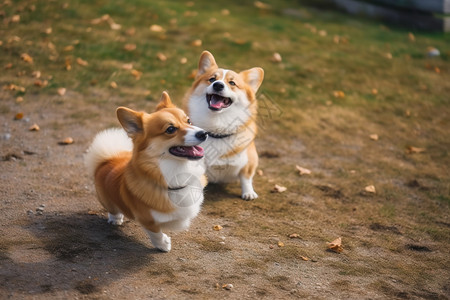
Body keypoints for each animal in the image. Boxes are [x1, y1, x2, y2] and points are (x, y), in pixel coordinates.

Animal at [84, 91, 207, 251]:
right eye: (170, 129)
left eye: (189, 121)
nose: (203, 133)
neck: (176, 172)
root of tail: (109, 159)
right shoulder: (147, 220)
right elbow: (156, 233)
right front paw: (163, 245)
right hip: (106, 200)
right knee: (113, 210)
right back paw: (116, 219)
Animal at [185, 51, 264, 202]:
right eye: (211, 79)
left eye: (232, 83)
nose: (218, 85)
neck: (217, 129)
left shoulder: (249, 161)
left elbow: (246, 178)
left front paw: (248, 193)